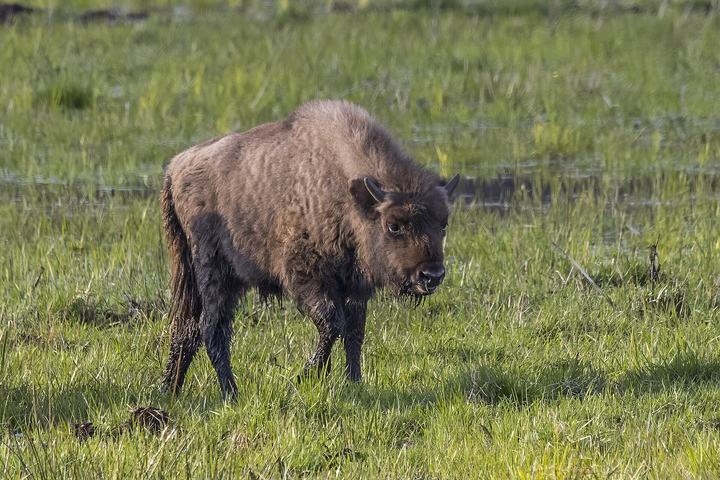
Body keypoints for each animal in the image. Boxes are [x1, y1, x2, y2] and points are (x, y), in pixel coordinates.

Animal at [161, 100, 459, 399]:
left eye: (443, 223)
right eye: (394, 226)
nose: (431, 276)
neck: (348, 195)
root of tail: (175, 168)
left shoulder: (355, 287)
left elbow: (354, 333)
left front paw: (353, 381)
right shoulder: (307, 277)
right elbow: (332, 325)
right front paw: (304, 376)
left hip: (195, 277)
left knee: (187, 329)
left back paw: (169, 389)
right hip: (214, 273)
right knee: (212, 330)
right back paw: (230, 393)